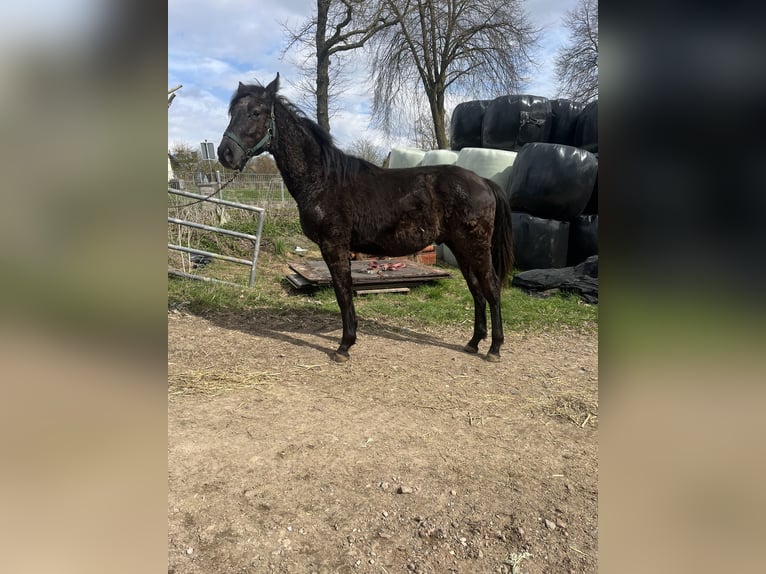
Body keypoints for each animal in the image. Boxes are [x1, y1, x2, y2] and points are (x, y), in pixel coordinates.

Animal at [218, 74, 514, 363]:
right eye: (232, 113)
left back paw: (495, 348)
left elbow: (343, 292)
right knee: (476, 290)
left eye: (256, 112)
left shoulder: (334, 246)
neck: (323, 179)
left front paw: (344, 345)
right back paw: (473, 343)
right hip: (460, 248)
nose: (225, 154)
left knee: (491, 287)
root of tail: (484, 182)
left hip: (475, 247)